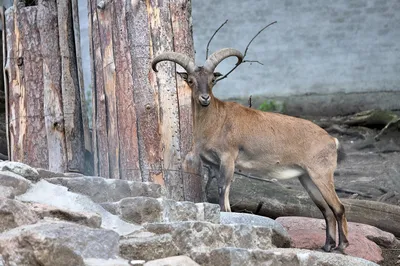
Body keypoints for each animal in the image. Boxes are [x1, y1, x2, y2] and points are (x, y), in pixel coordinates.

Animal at [152, 47, 348, 251]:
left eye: (212, 79)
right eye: (190, 80)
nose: (204, 98)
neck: (215, 121)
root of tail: (331, 140)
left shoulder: (228, 157)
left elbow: (223, 188)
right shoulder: (214, 164)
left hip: (321, 174)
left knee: (338, 207)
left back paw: (342, 246)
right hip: (307, 178)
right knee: (326, 210)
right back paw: (327, 246)